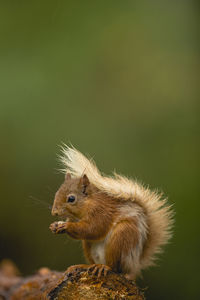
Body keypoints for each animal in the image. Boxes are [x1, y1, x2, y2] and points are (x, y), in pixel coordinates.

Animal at [49, 146, 173, 280]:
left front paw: (66, 226)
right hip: (88, 246)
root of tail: (134, 265)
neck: (88, 204)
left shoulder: (101, 212)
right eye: (56, 193)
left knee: (115, 268)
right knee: (93, 262)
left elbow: (93, 228)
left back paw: (104, 267)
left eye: (71, 199)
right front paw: (55, 226)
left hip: (121, 238)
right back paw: (83, 266)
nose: (54, 212)